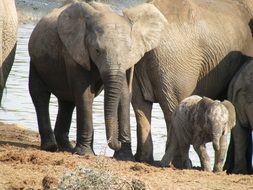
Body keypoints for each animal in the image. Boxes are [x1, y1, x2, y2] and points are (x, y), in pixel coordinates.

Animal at [28, 1, 168, 160]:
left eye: (129, 51)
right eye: (97, 51)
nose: (117, 142)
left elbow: (124, 95)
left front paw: (124, 157)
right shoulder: (76, 52)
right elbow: (85, 95)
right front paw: (85, 153)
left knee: (67, 102)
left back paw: (67, 148)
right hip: (36, 60)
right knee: (40, 95)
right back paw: (51, 147)